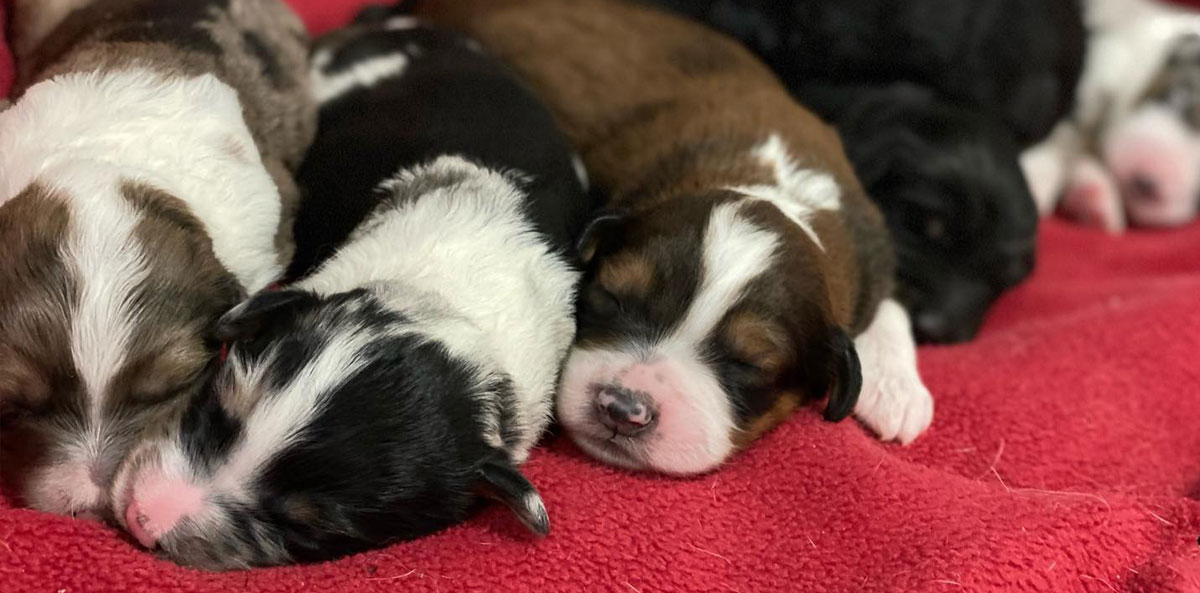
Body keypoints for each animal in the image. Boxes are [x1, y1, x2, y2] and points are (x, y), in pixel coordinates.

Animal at [422, 0, 936, 475]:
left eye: (748, 364)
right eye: (611, 298)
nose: (624, 410)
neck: (771, 181)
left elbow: (888, 306)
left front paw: (897, 391)